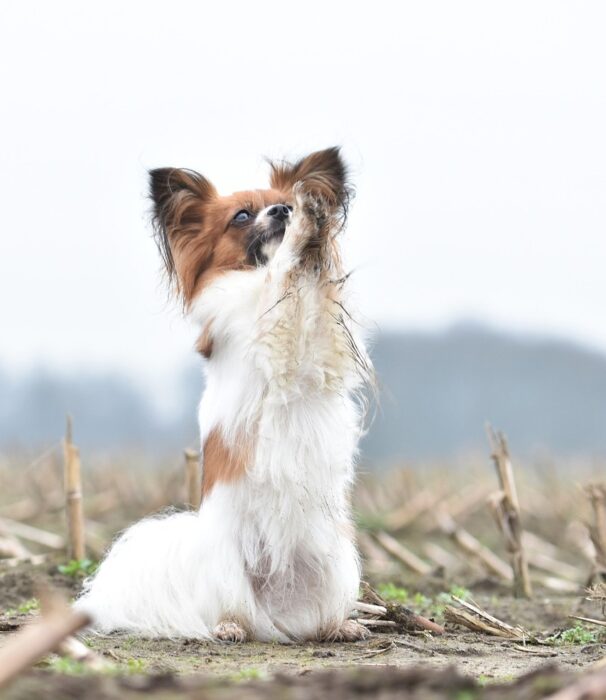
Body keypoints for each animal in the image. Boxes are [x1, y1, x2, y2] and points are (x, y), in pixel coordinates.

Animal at [76, 149, 376, 644]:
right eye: (241, 216)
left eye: (281, 202)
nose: (285, 211)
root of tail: (275, 615)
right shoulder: (264, 331)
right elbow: (280, 283)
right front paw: (297, 244)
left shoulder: (321, 348)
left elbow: (314, 295)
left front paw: (313, 230)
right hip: (228, 566)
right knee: (236, 610)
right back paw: (231, 626)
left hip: (337, 561)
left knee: (318, 616)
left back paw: (339, 626)